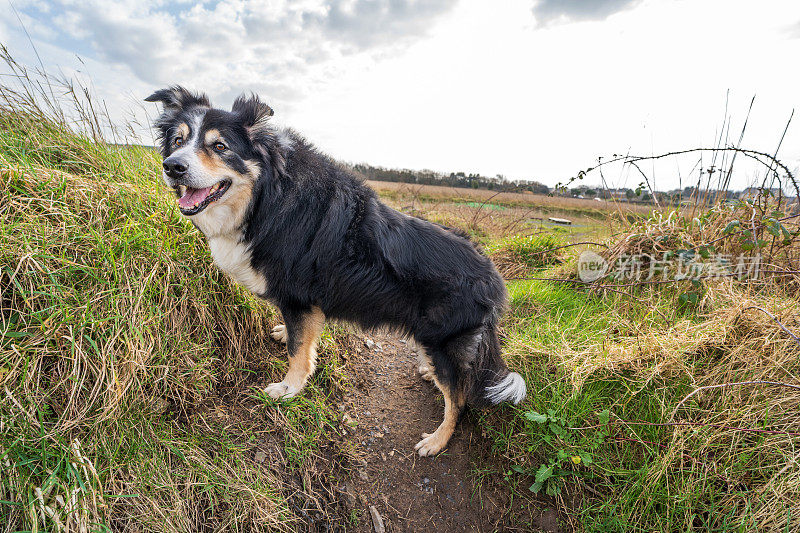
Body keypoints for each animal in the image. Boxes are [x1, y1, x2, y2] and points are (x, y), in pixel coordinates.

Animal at [147, 86, 528, 454]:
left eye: (220, 146)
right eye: (178, 141)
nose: (172, 167)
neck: (266, 198)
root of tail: (493, 278)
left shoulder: (298, 296)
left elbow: (299, 350)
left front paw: (288, 388)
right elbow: (300, 336)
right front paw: (284, 334)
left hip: (443, 338)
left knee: (459, 399)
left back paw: (437, 440)